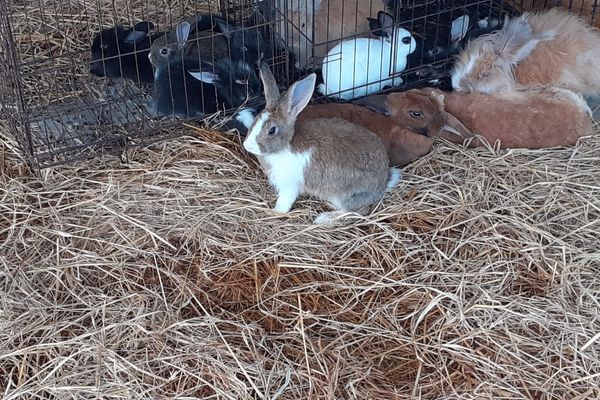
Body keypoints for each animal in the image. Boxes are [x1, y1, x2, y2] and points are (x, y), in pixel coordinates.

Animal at [241, 61, 400, 227]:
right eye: (255, 120)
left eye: (272, 130)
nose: (247, 146)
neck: (285, 145)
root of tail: (383, 183)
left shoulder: (290, 185)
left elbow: (284, 202)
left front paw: (275, 211)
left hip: (344, 195)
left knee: (359, 211)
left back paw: (324, 218)